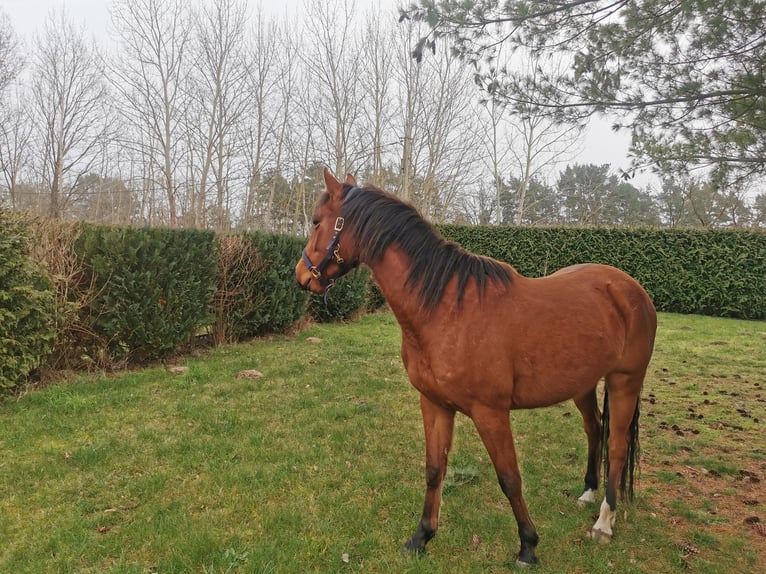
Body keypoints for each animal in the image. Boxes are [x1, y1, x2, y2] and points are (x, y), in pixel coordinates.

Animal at [295, 168, 657, 566]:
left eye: (316, 221)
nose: (301, 276)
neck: (446, 309)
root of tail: (629, 288)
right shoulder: (434, 404)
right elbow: (434, 470)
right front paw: (421, 537)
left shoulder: (491, 413)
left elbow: (510, 478)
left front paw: (528, 546)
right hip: (583, 384)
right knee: (594, 428)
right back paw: (588, 492)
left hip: (625, 381)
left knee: (617, 444)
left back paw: (604, 522)